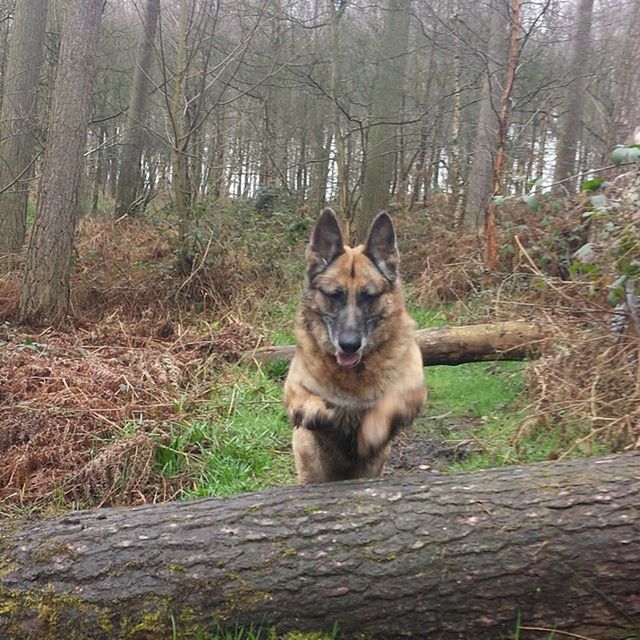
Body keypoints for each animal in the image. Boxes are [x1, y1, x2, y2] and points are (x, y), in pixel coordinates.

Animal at [284, 208, 424, 482]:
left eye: (368, 296)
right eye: (333, 295)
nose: (349, 345)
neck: (353, 376)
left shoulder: (415, 390)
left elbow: (388, 404)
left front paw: (370, 431)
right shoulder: (292, 389)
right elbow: (307, 400)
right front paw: (320, 412)